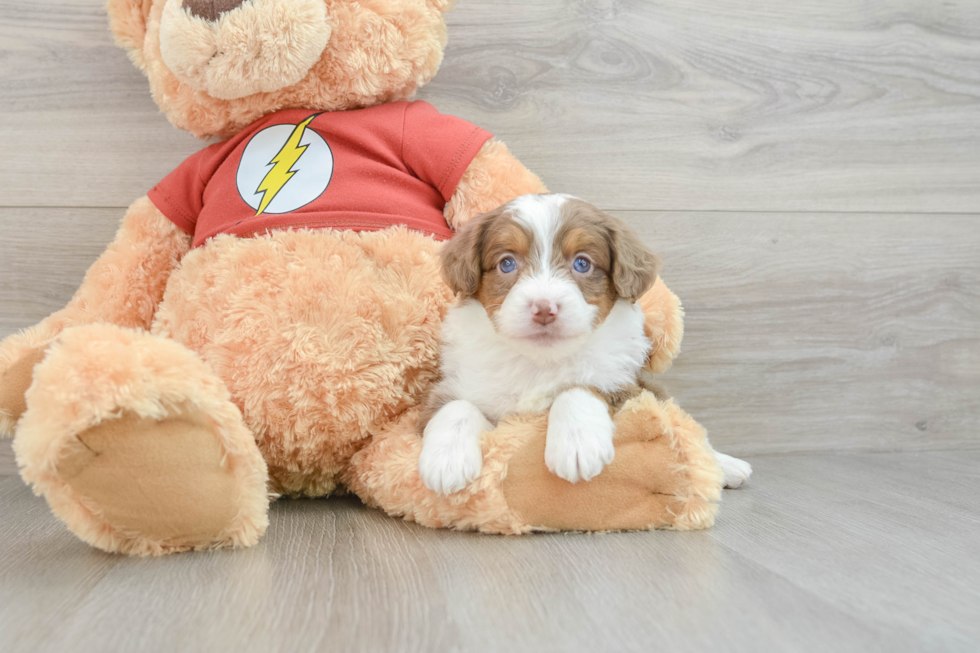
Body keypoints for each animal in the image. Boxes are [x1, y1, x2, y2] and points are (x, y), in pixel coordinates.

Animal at [418, 194, 756, 494]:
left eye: (582, 263)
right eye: (506, 263)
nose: (544, 308)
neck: (540, 360)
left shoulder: (627, 385)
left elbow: (581, 386)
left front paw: (577, 444)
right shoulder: (460, 384)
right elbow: (456, 405)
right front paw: (445, 460)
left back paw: (726, 466)